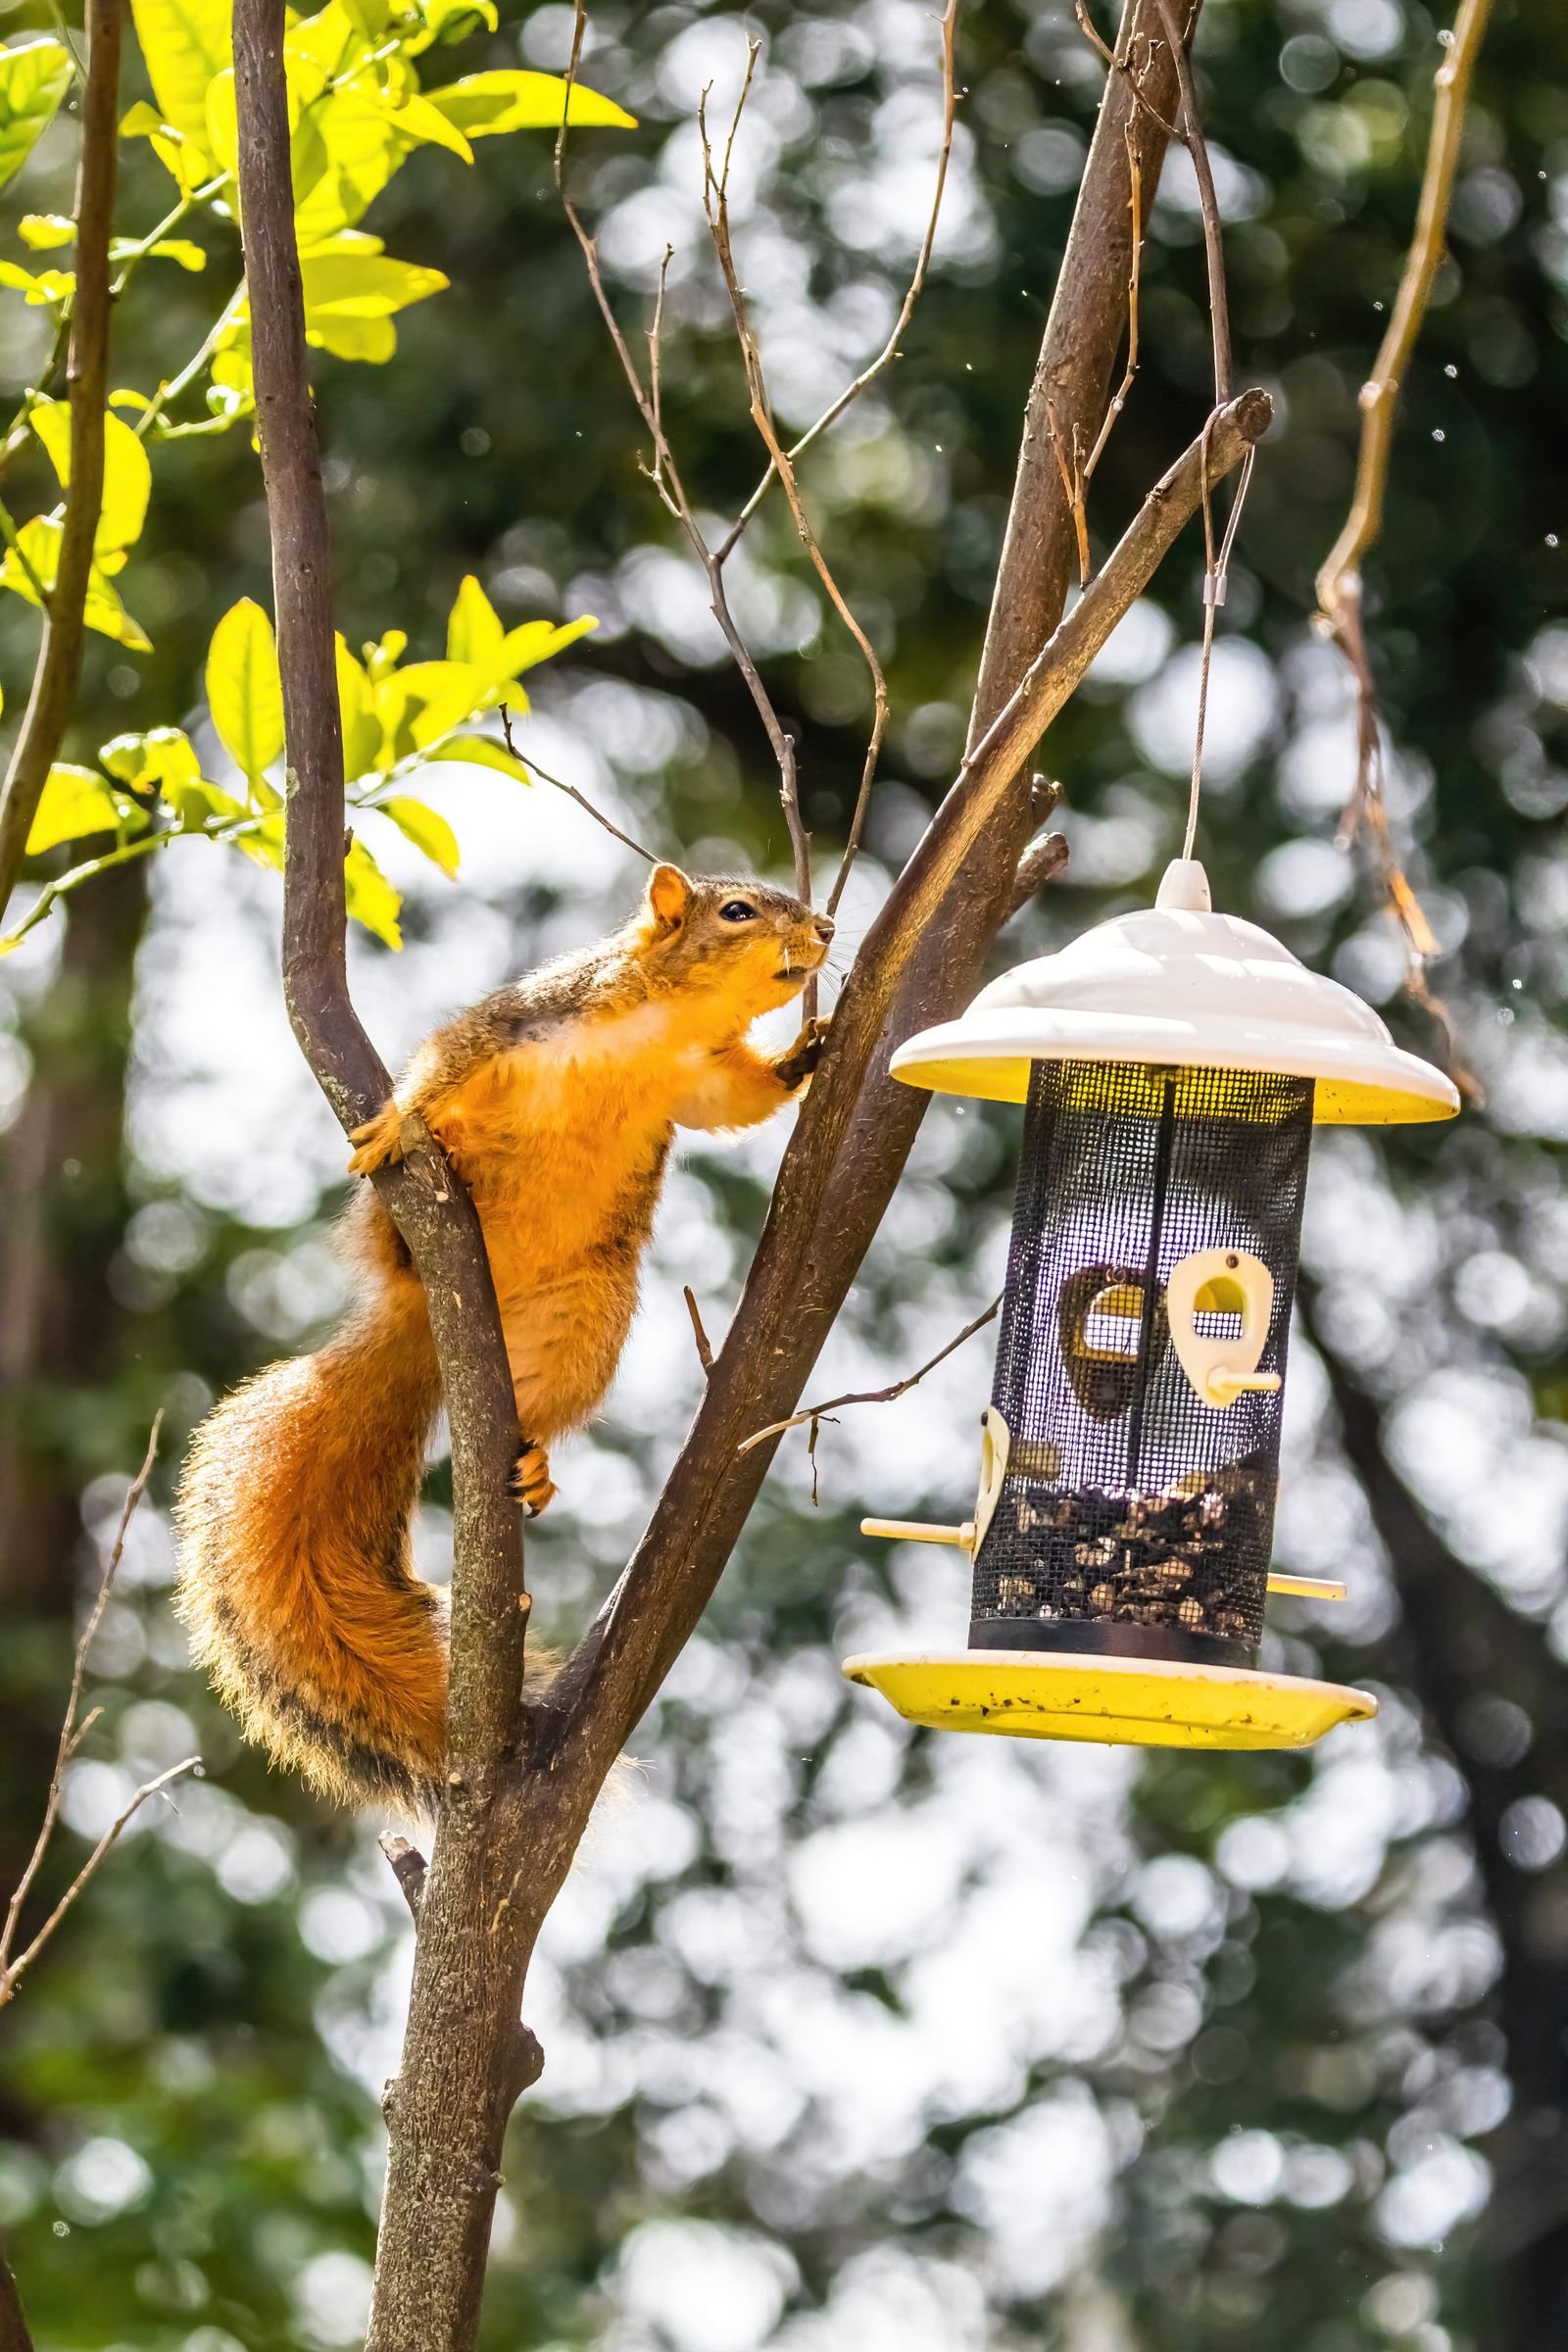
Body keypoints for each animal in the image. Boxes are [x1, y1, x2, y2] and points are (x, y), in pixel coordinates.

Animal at [173, 864, 832, 1815]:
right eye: (737, 911)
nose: (825, 929)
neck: (662, 1024)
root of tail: (428, 1328)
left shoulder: (697, 1081)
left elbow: (737, 1102)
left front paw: (803, 1054)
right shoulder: (521, 1020)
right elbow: (445, 1062)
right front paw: (401, 1122)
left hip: (587, 1311)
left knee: (544, 1402)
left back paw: (536, 1460)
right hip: (410, 1233)